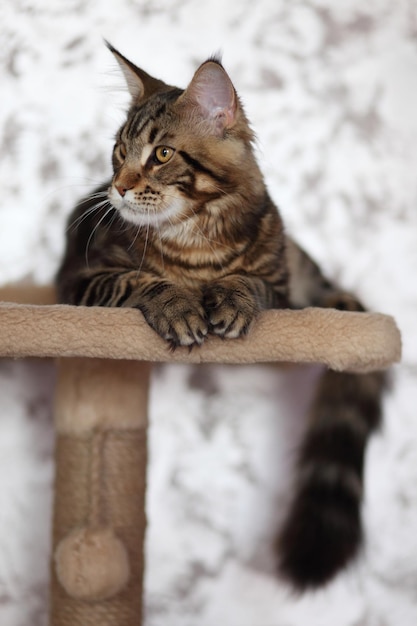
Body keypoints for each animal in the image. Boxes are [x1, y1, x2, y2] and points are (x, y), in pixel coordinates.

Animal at [57, 42, 386, 584]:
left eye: (161, 154)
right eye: (119, 152)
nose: (118, 188)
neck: (198, 242)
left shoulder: (278, 283)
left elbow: (250, 282)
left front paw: (228, 301)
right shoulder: (81, 280)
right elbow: (141, 281)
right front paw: (180, 307)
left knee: (335, 294)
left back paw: (344, 308)